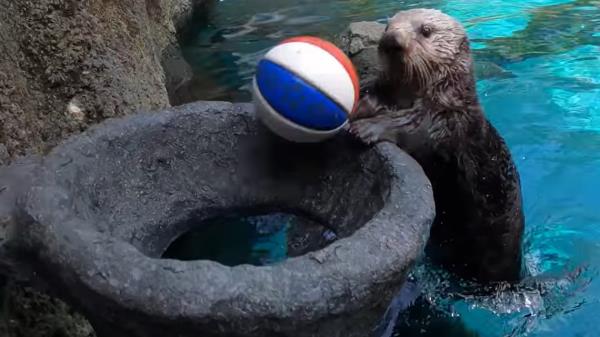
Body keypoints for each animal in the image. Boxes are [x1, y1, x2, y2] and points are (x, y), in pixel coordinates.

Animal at [350, 7, 524, 284]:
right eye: (388, 27)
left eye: (426, 30)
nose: (392, 40)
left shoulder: (442, 122)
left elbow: (411, 130)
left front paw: (366, 128)